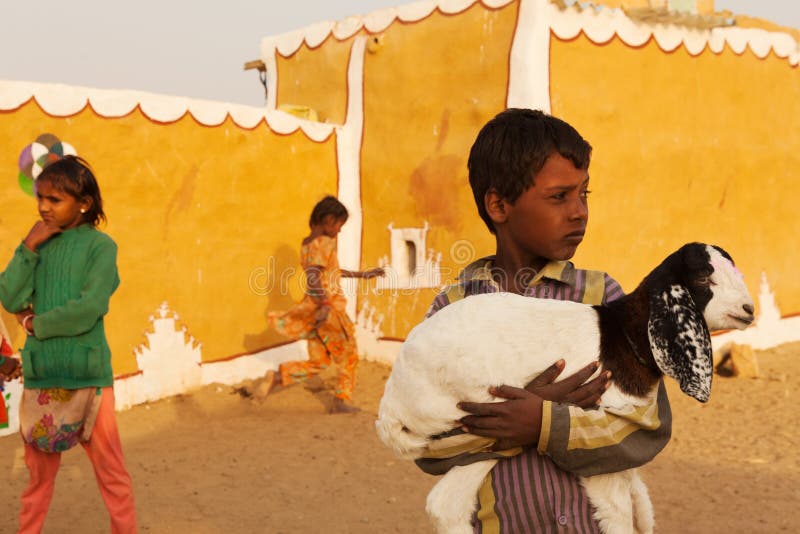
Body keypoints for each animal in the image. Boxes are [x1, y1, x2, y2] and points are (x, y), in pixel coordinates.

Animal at [378, 244, 752, 534]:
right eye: (703, 277)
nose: (748, 310)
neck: (622, 334)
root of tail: (391, 404)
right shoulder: (604, 428)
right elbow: (618, 511)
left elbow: (639, 502)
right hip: (479, 424)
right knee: (446, 503)